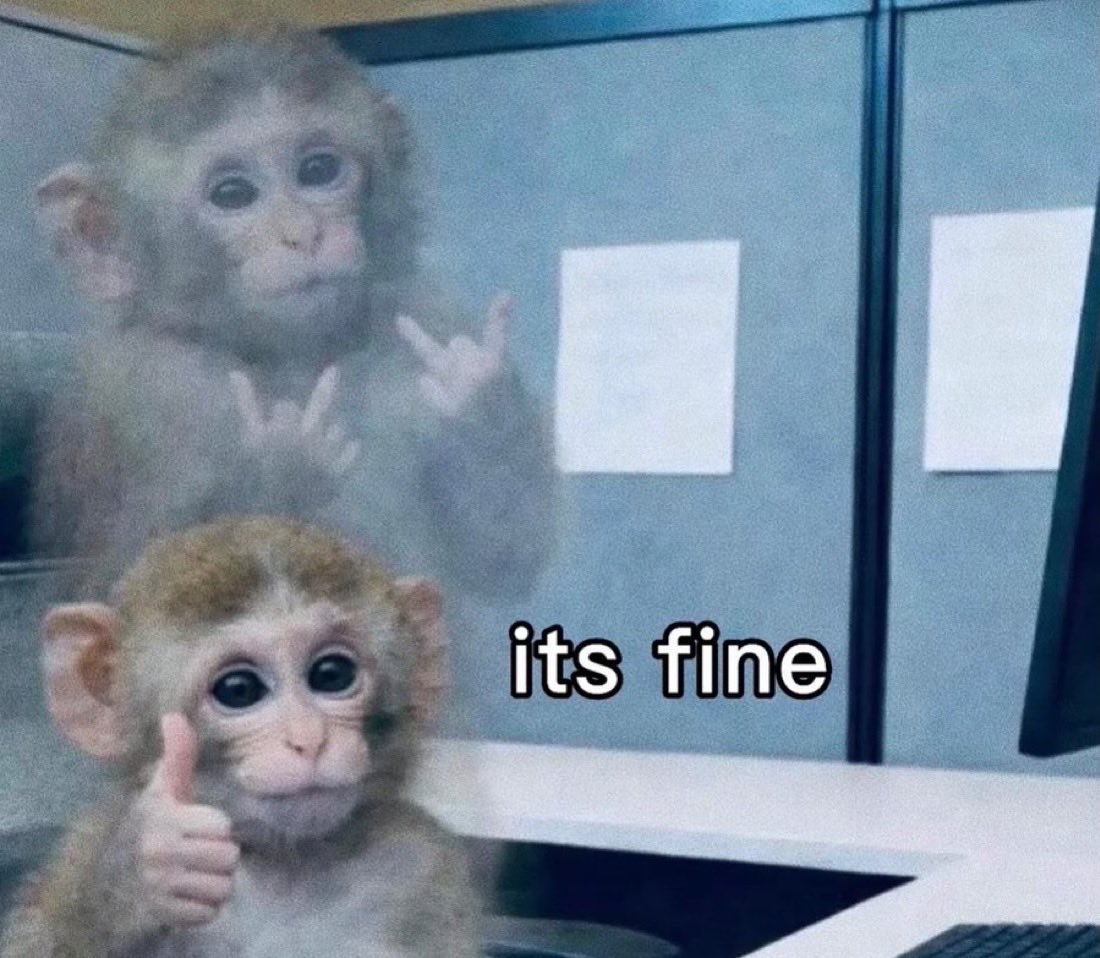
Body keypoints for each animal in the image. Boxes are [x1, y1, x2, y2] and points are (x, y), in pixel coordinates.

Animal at [0, 516, 480, 958]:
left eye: (331, 674)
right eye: (239, 689)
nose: (308, 739)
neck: (287, 866)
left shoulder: (422, 870)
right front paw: (150, 861)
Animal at [31, 24, 558, 603]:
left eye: (319, 170)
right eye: (233, 194)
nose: (302, 234)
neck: (286, 359)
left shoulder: (426, 308)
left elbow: (505, 553)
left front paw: (478, 398)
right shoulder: (143, 385)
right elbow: (124, 580)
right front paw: (281, 466)